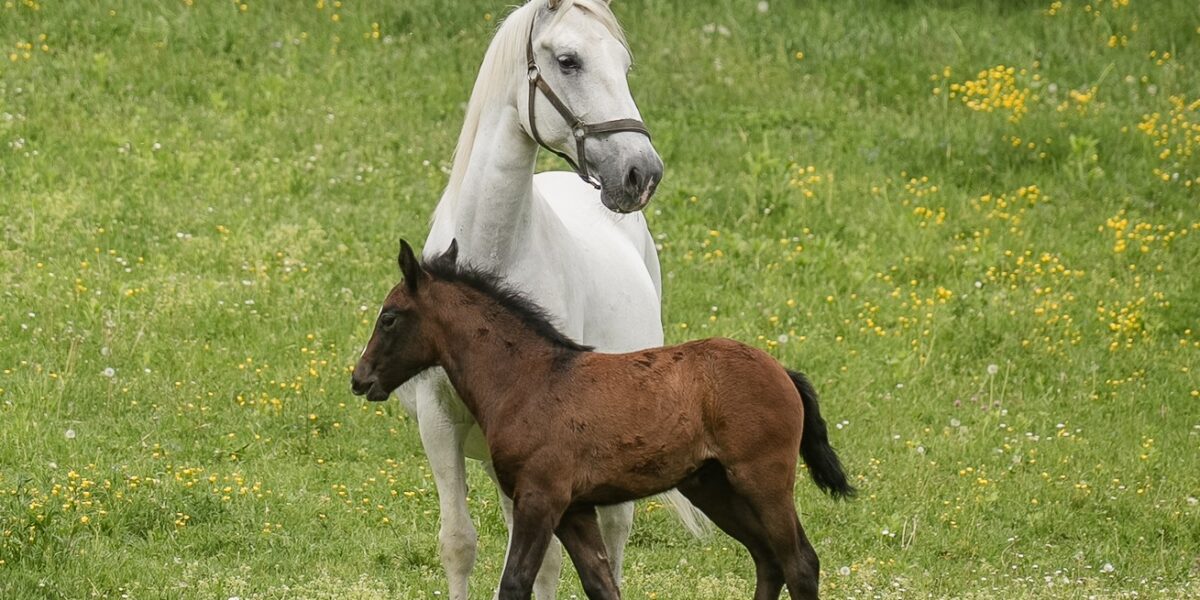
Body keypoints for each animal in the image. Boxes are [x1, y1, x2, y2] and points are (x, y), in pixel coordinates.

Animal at [353, 240, 856, 600]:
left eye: (389, 318)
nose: (360, 378)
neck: (527, 379)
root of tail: (782, 371)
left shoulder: (540, 498)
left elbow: (515, 582)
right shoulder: (575, 509)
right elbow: (601, 585)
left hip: (763, 480)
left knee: (799, 563)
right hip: (713, 487)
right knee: (768, 560)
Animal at [397, 0, 704, 598]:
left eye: (625, 66)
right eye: (568, 60)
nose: (641, 172)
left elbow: (545, 562)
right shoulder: (440, 425)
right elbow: (459, 543)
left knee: (613, 535)